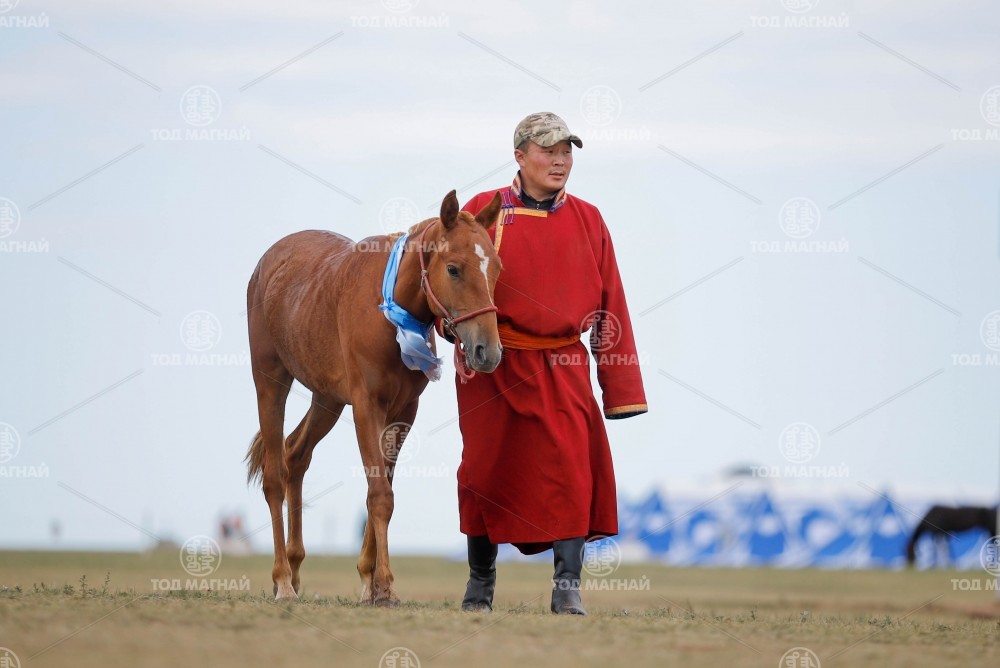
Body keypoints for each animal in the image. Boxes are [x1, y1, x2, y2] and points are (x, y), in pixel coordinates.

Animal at [245, 190, 503, 604]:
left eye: (495, 268)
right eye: (453, 269)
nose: (487, 351)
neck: (389, 314)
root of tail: (269, 264)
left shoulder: (402, 411)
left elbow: (383, 486)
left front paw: (371, 582)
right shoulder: (367, 406)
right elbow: (380, 492)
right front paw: (384, 584)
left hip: (327, 399)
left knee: (296, 456)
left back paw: (296, 570)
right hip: (271, 381)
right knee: (274, 474)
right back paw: (283, 580)